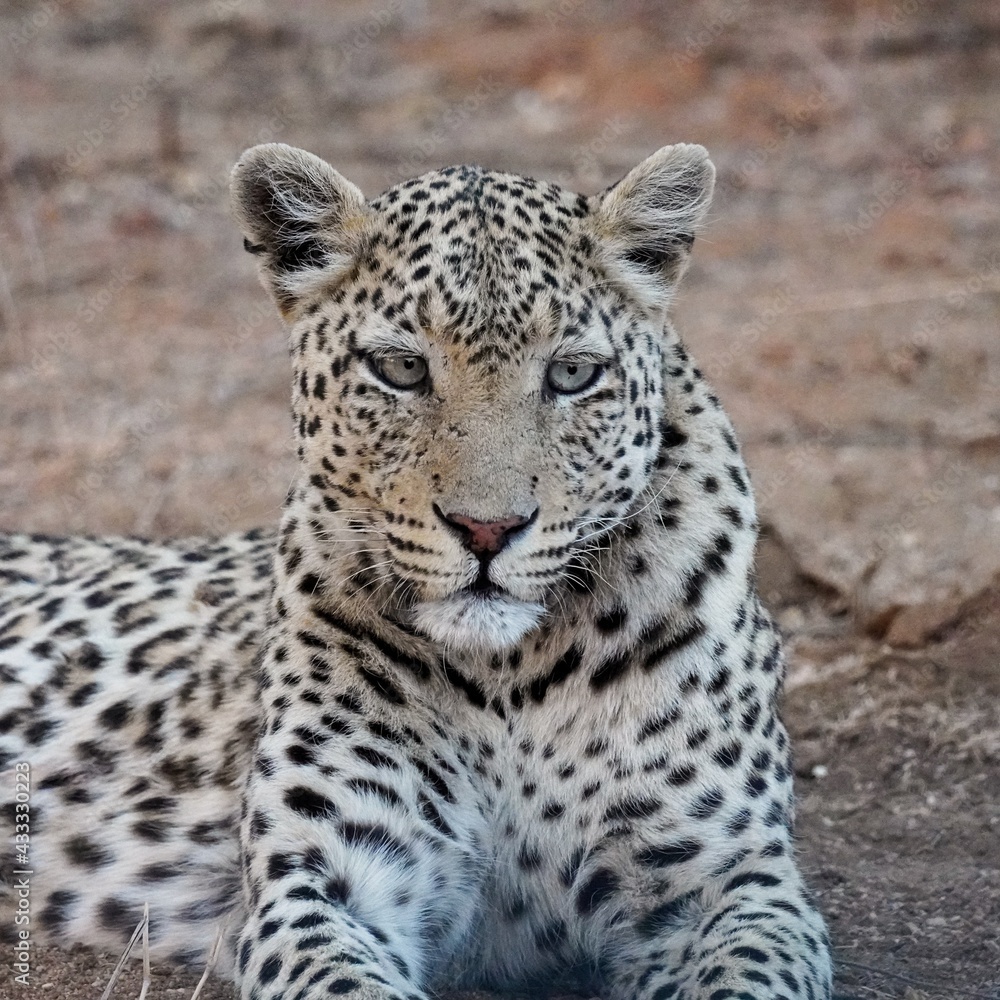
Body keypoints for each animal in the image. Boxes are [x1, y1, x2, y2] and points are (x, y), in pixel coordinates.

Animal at [0, 141, 833, 1000]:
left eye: (572, 375)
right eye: (400, 368)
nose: (487, 529)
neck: (511, 679)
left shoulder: (730, 880)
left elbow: (745, 978)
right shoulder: (326, 881)